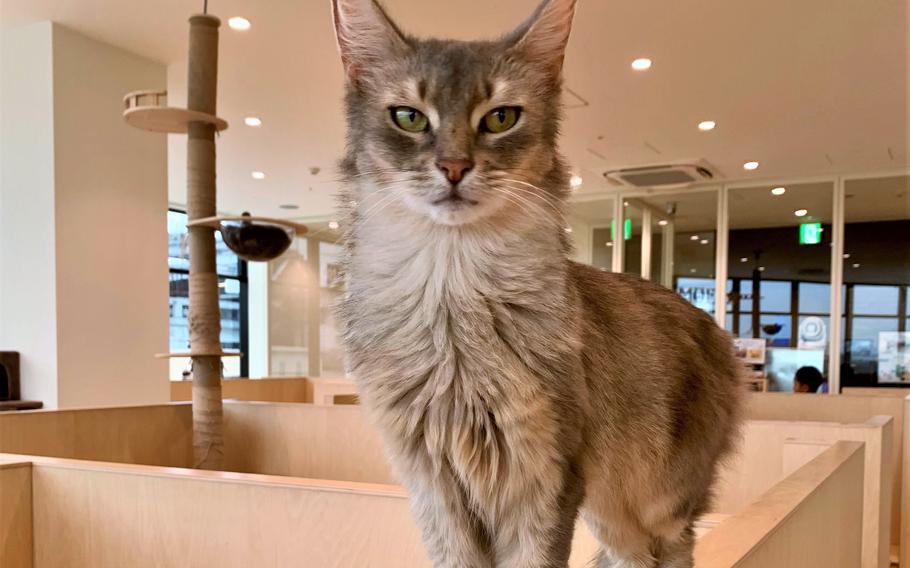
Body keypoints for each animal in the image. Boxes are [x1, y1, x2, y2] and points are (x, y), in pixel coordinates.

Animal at [332, 2, 744, 564]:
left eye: (500, 118)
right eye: (409, 117)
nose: (454, 167)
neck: (452, 298)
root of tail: (718, 332)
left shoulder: (546, 474)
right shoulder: (432, 485)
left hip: (659, 499)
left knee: (672, 547)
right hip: (610, 508)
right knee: (631, 553)